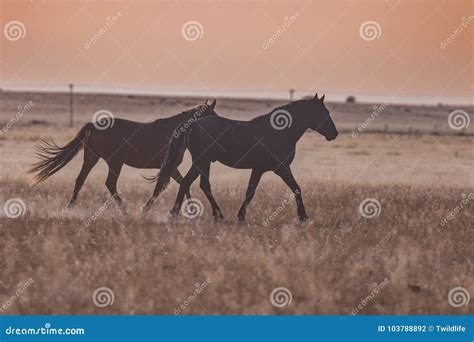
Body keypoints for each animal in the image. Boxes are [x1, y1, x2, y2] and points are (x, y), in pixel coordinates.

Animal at [27, 100, 217, 210]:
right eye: (212, 114)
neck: (176, 131)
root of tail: (94, 125)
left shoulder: (172, 168)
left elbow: (181, 183)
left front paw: (191, 208)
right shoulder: (168, 166)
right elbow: (161, 188)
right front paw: (145, 210)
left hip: (91, 157)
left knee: (80, 180)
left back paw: (70, 207)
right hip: (115, 162)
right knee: (110, 183)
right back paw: (123, 210)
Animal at [144, 93, 336, 222]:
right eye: (324, 112)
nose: (334, 134)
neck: (280, 132)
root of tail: (192, 125)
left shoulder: (259, 169)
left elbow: (250, 192)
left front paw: (241, 216)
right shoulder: (281, 168)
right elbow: (296, 188)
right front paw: (303, 216)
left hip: (204, 162)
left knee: (201, 184)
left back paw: (216, 214)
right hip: (201, 161)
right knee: (187, 182)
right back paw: (177, 214)